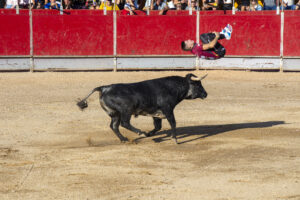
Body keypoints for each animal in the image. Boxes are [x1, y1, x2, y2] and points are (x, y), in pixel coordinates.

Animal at [76, 73, 207, 144]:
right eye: (198, 85)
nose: (206, 94)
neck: (172, 88)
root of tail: (104, 88)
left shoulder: (156, 114)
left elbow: (158, 127)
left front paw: (150, 134)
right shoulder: (168, 109)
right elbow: (173, 123)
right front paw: (175, 140)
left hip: (115, 114)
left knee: (114, 126)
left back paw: (124, 139)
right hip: (126, 110)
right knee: (124, 123)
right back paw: (140, 133)